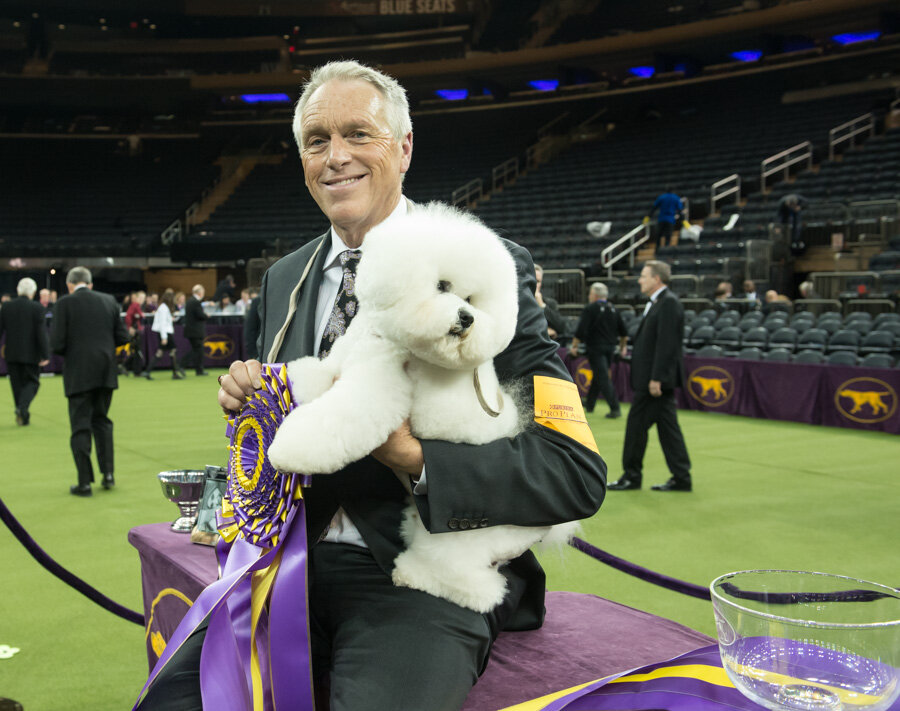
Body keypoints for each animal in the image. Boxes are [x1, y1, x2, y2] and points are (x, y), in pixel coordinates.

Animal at [268, 203, 576, 616]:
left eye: (471, 298)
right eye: (443, 286)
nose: (467, 318)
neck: (386, 335)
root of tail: (540, 529)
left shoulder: (379, 385)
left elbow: (339, 418)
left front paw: (289, 449)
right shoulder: (342, 360)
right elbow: (315, 375)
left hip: (460, 536)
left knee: (465, 575)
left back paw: (427, 580)